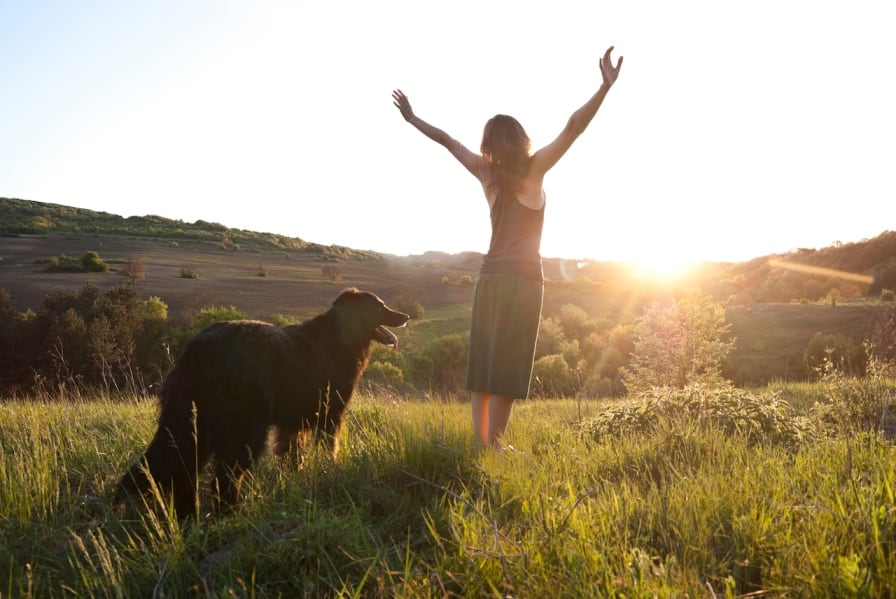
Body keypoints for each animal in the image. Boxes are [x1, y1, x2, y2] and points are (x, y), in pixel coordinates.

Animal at [113, 288, 410, 516]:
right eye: (380, 305)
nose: (405, 316)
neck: (341, 336)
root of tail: (197, 350)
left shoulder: (292, 424)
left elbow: (293, 458)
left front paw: (295, 482)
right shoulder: (330, 415)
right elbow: (328, 450)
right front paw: (330, 473)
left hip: (192, 426)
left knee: (179, 470)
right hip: (244, 429)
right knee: (224, 477)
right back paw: (231, 512)